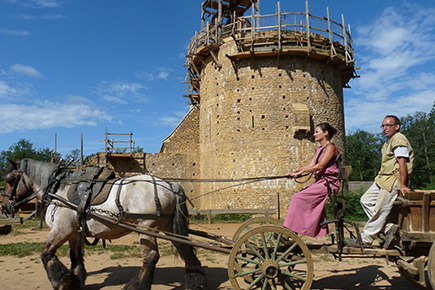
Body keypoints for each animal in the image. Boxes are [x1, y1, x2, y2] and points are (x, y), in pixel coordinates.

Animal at [2, 159, 206, 290]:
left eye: (10, 180)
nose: (4, 206)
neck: (58, 189)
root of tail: (170, 184)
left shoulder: (61, 230)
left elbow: (45, 253)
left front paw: (60, 280)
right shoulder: (74, 233)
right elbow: (75, 257)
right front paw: (75, 281)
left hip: (146, 228)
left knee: (151, 257)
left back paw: (137, 286)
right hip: (168, 228)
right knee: (185, 249)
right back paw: (196, 281)